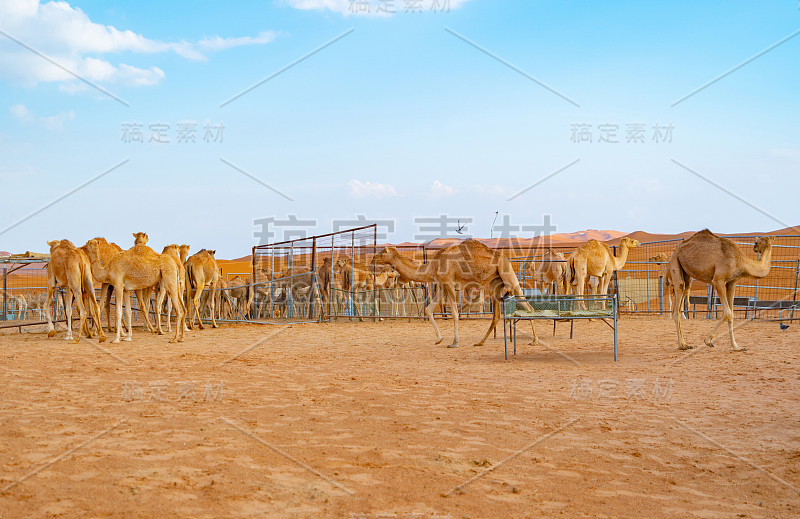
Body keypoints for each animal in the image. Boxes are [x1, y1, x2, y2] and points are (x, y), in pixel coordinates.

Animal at [374, 241, 536, 350]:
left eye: (382, 252)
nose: (373, 258)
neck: (432, 266)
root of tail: (506, 258)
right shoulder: (441, 285)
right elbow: (429, 309)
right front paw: (439, 339)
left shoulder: (449, 283)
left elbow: (454, 313)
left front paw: (454, 342)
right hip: (495, 283)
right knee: (496, 315)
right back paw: (480, 342)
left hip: (508, 275)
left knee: (528, 307)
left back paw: (535, 340)